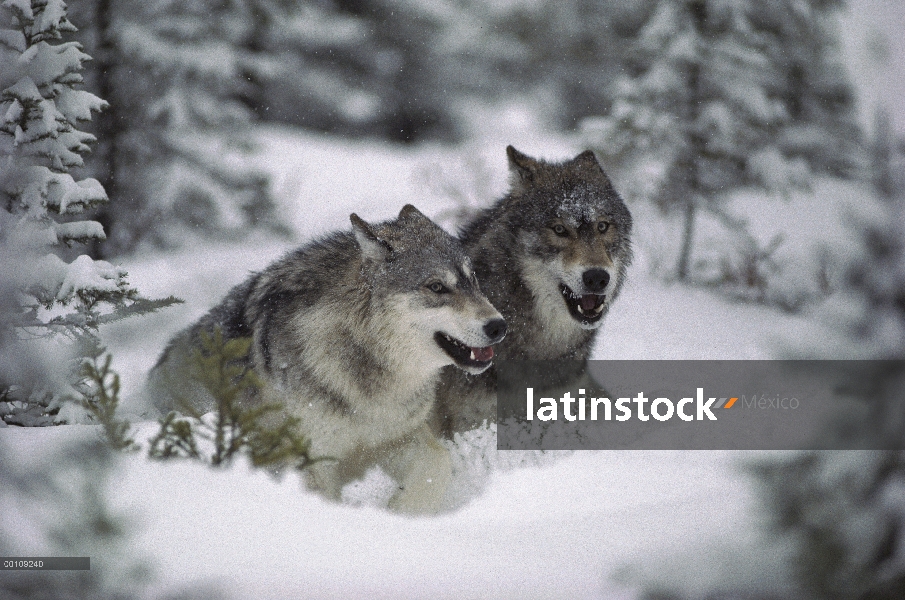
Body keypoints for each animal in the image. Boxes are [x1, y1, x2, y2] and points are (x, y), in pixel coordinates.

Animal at [145, 204, 504, 512]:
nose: (499, 326)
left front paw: (401, 512)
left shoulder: (396, 436)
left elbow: (438, 462)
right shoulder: (309, 462)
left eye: (472, 279)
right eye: (437, 287)